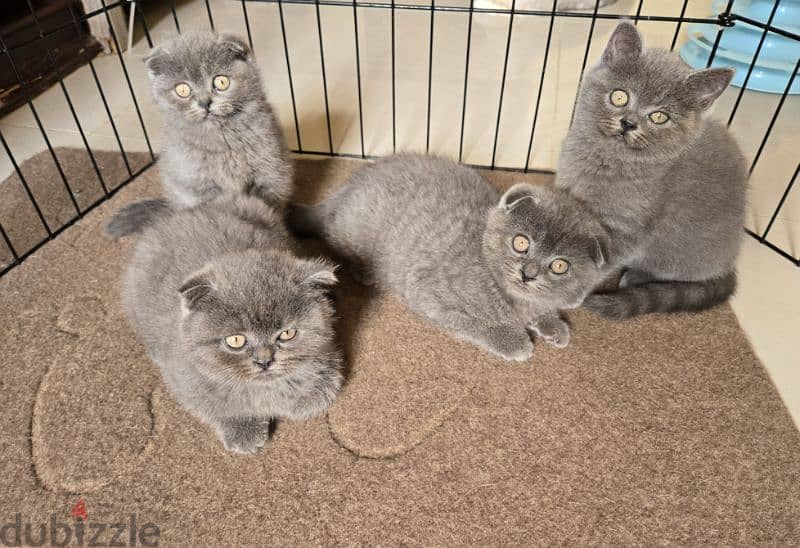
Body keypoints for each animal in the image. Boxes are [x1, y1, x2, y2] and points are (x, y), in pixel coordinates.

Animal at [107, 195, 344, 452]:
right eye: (236, 340)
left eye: (287, 334)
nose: (264, 361)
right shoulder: (186, 379)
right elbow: (217, 406)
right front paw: (243, 430)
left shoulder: (328, 349)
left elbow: (320, 386)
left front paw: (305, 396)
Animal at [145, 31, 292, 210]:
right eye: (182, 90)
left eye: (221, 81)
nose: (204, 102)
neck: (223, 140)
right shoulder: (198, 186)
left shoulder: (269, 174)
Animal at [288, 154, 608, 362]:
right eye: (521, 242)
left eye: (559, 266)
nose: (528, 273)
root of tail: (344, 189)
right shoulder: (428, 292)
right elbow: (474, 323)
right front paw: (512, 339)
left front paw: (552, 324)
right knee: (333, 239)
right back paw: (363, 270)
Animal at [556, 21, 752, 318]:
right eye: (619, 96)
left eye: (659, 117)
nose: (628, 123)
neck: (606, 159)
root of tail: (730, 263)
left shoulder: (626, 229)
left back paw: (636, 277)